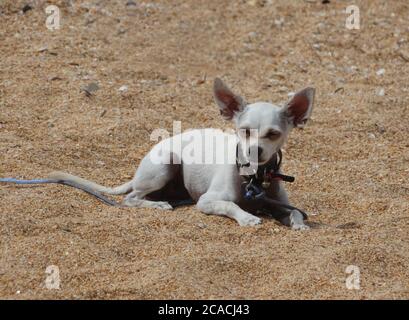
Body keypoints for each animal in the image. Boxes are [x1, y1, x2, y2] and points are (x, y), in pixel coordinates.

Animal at [50, 79, 312, 230]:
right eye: (245, 131)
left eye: (273, 134)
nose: (253, 150)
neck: (254, 179)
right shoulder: (207, 201)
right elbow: (231, 206)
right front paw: (247, 218)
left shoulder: (279, 204)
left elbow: (295, 212)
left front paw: (299, 225)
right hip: (166, 163)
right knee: (131, 198)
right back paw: (157, 205)